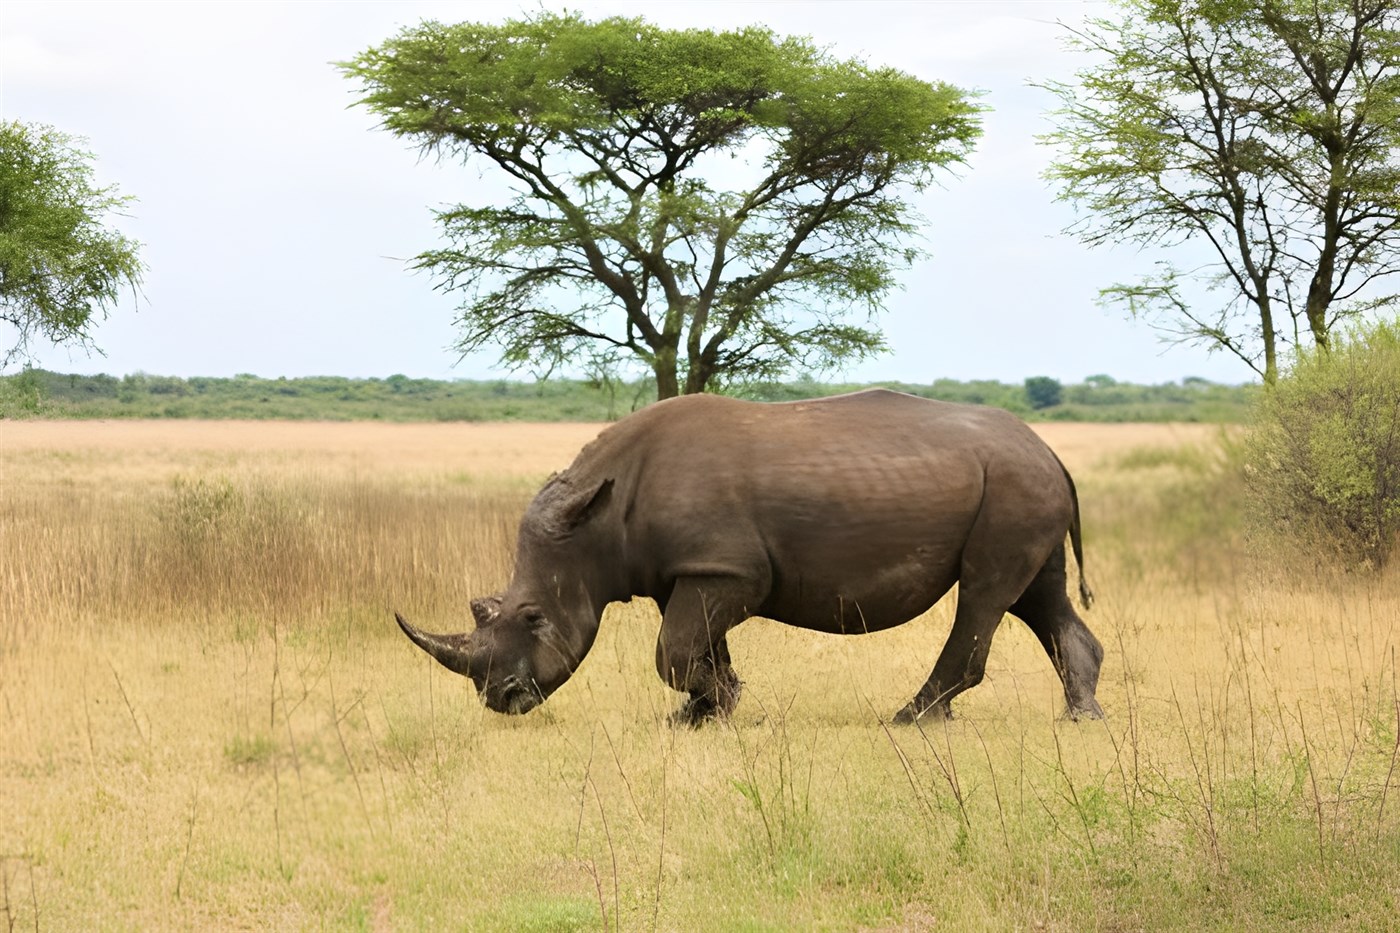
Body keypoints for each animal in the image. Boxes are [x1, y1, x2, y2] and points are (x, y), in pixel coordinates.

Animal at [396, 388, 1105, 724]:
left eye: (535, 618)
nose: (503, 699)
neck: (596, 523)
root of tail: (1049, 449)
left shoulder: (727, 569)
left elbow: (674, 651)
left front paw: (721, 705)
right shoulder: (693, 570)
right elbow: (696, 646)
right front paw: (702, 712)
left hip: (1012, 486)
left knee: (985, 592)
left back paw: (912, 719)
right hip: (1020, 484)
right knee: (1035, 595)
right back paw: (1081, 718)